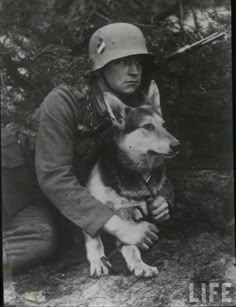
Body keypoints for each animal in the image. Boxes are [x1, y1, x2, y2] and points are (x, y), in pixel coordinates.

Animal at [83, 81, 181, 280]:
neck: (138, 172)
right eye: (148, 127)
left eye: (164, 125)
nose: (177, 145)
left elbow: (131, 247)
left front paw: (139, 264)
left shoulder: (131, 222)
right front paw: (98, 260)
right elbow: (94, 237)